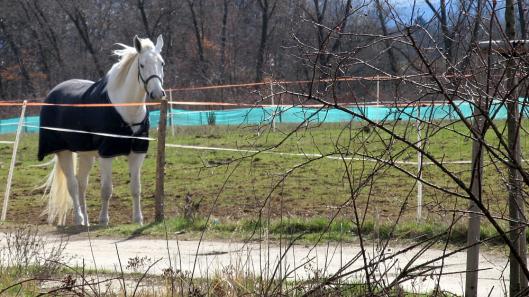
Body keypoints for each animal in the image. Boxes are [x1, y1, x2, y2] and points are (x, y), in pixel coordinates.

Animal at [38, 35, 165, 224]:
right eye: (142, 65)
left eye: (162, 63)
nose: (157, 93)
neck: (126, 109)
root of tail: (53, 92)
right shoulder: (107, 154)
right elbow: (106, 189)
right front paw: (104, 220)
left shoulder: (137, 152)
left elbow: (136, 188)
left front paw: (138, 219)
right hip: (64, 152)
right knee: (72, 185)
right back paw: (79, 219)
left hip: (86, 155)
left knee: (81, 184)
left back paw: (86, 221)